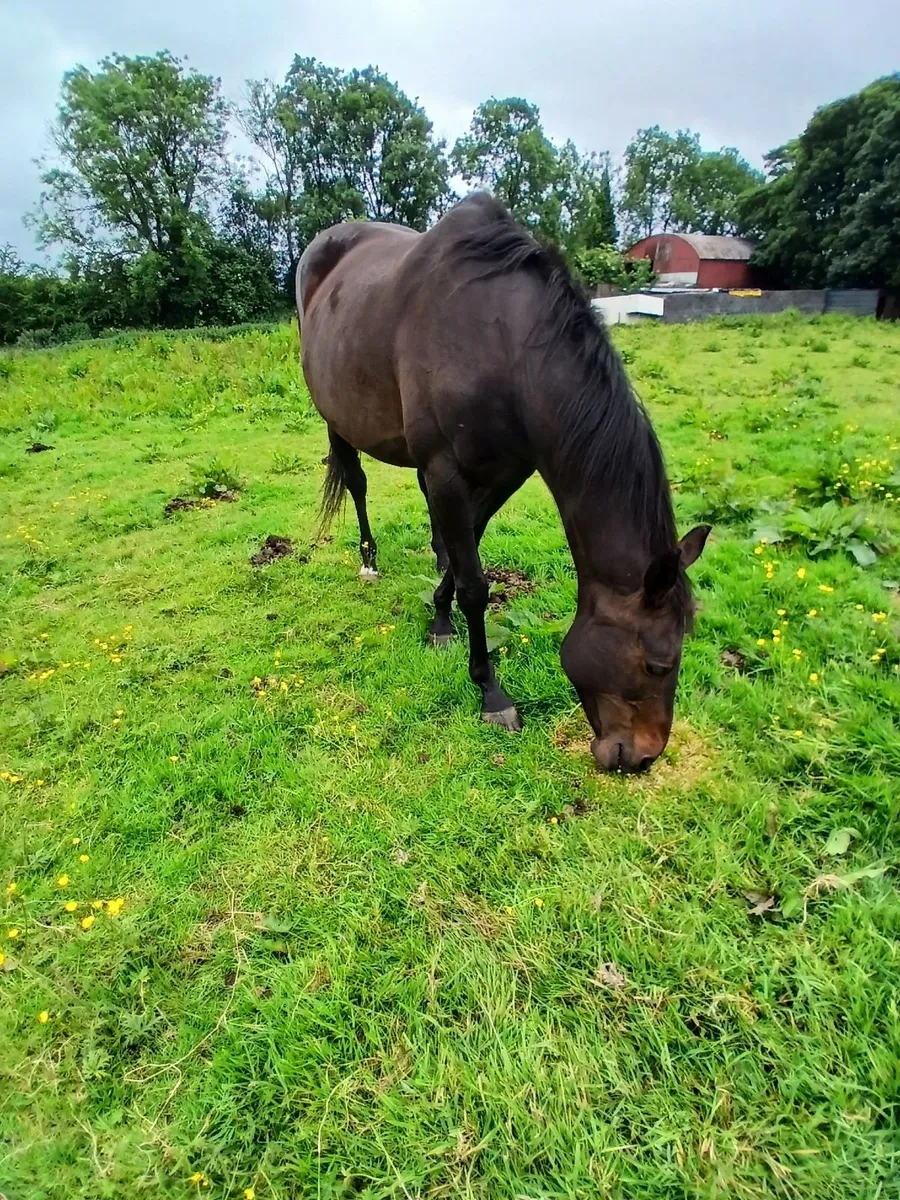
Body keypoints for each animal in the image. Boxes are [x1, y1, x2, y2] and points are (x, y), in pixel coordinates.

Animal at [296, 193, 709, 773]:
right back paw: (369, 558)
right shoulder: (446, 467)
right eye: (657, 664)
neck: (501, 343)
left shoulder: (507, 472)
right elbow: (475, 584)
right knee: (356, 483)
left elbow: (468, 540)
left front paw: (439, 617)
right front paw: (490, 691)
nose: (642, 758)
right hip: (335, 416)